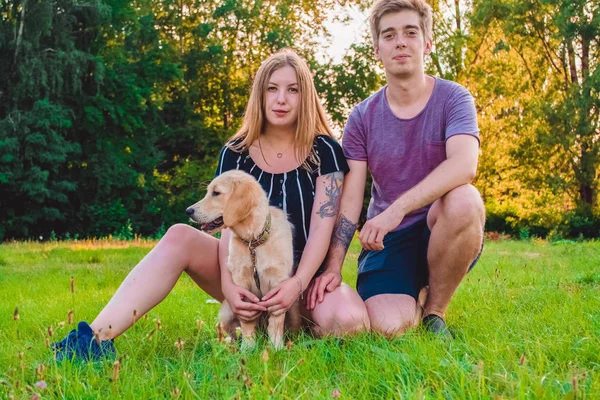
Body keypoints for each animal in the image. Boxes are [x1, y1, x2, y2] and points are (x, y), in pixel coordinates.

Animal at [186, 170, 300, 348]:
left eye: (216, 193)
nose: (188, 211)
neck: (254, 241)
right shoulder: (241, 282)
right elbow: (246, 322)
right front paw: (248, 348)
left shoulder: (278, 283)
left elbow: (276, 321)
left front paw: (276, 347)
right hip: (226, 311)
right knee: (230, 333)